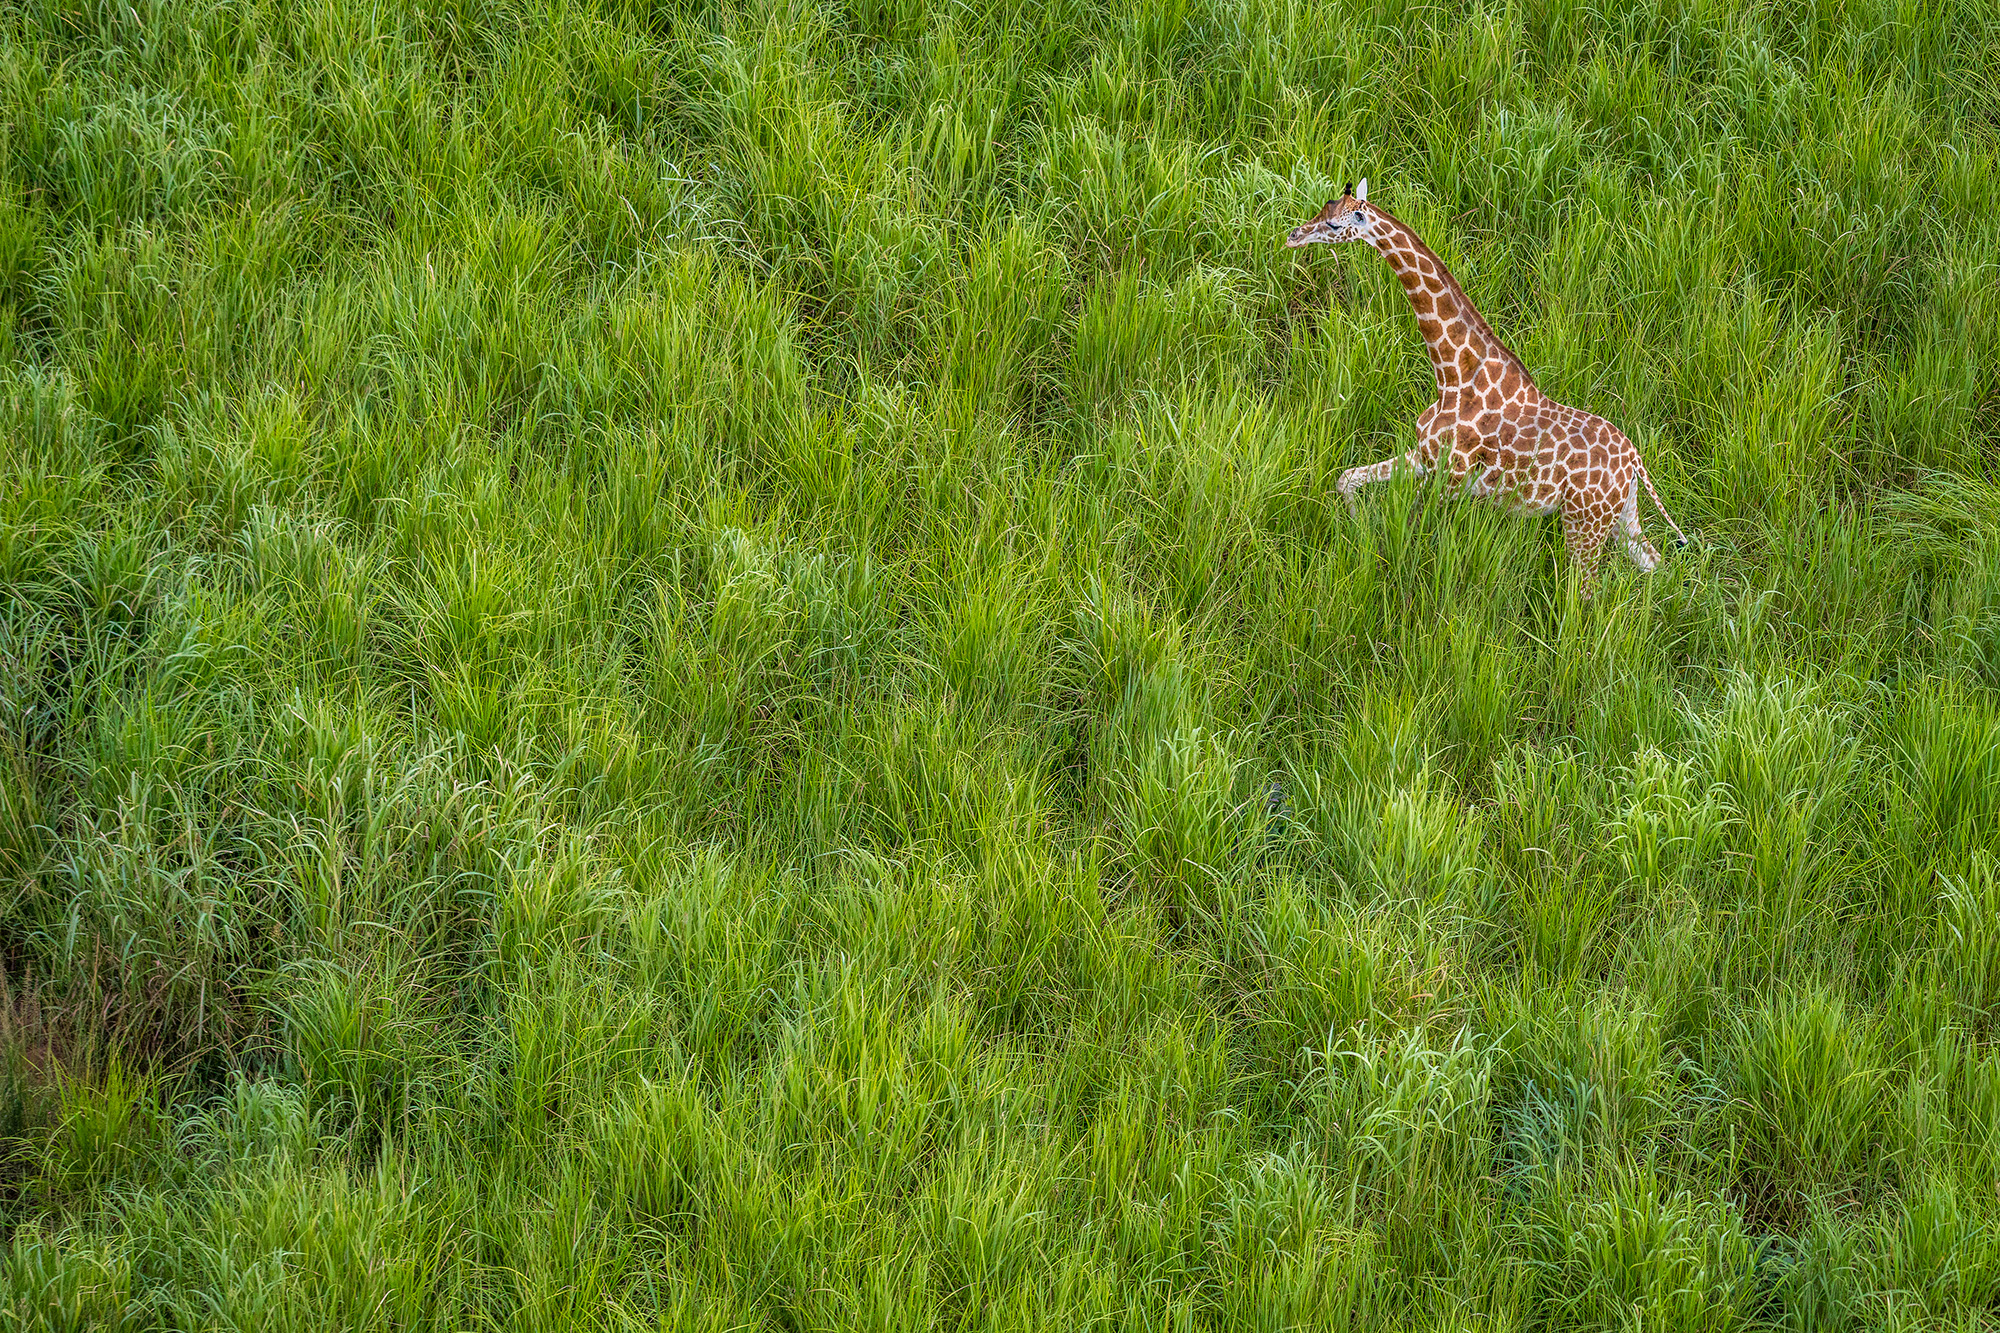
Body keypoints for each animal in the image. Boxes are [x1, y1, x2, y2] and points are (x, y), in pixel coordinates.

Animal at [1286, 179, 1687, 595]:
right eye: (1323, 209)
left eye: (1335, 224)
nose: (1293, 235)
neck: (1452, 374)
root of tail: (1635, 461)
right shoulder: (1424, 458)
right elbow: (1346, 479)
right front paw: (1356, 528)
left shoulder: (1450, 479)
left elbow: (1411, 538)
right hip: (1621, 515)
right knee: (1654, 562)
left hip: (1584, 522)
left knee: (1587, 592)